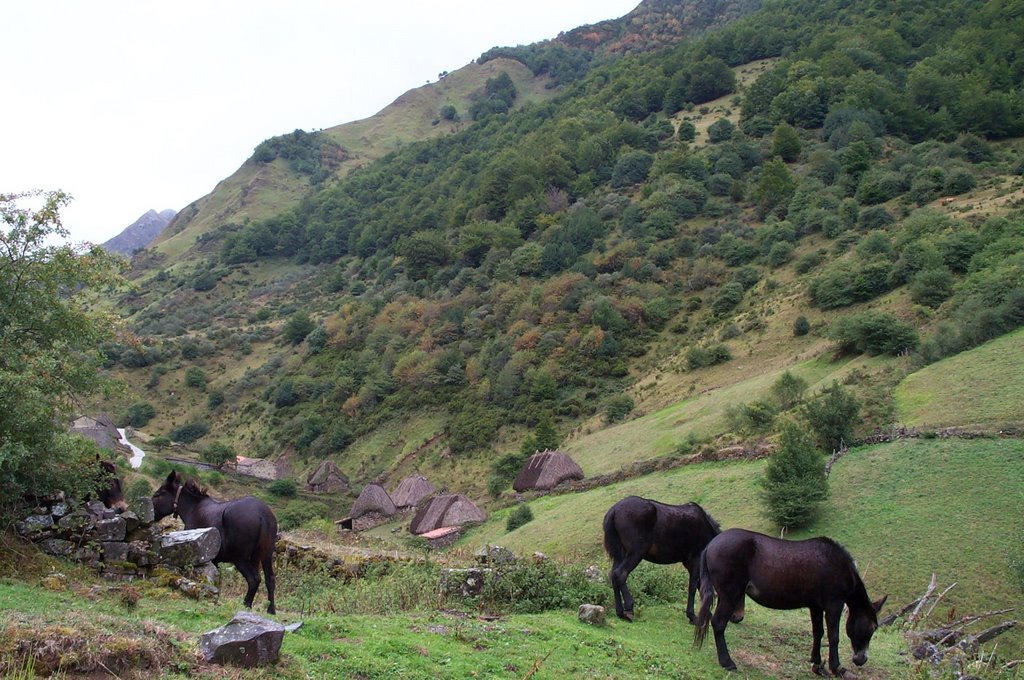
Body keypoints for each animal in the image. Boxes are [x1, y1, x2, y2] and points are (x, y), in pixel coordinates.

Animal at [151, 471, 280, 614]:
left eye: (157, 494)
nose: (152, 514)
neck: (190, 509)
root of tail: (263, 516)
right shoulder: (215, 559)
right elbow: (218, 581)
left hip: (240, 557)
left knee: (254, 579)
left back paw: (246, 604)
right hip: (264, 554)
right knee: (270, 579)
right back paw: (271, 610)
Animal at [598, 493, 720, 622]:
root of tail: (614, 510)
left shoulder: (689, 564)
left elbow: (699, 587)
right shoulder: (695, 561)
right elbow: (693, 588)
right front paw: (692, 615)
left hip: (620, 555)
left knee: (613, 575)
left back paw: (620, 611)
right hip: (635, 553)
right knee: (620, 574)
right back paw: (629, 609)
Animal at [696, 528, 888, 675]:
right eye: (873, 627)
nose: (861, 659)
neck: (839, 565)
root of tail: (710, 545)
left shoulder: (815, 606)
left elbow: (818, 632)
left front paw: (816, 662)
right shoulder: (834, 604)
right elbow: (834, 636)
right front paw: (836, 667)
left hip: (724, 595)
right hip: (730, 595)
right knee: (718, 623)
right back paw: (727, 662)